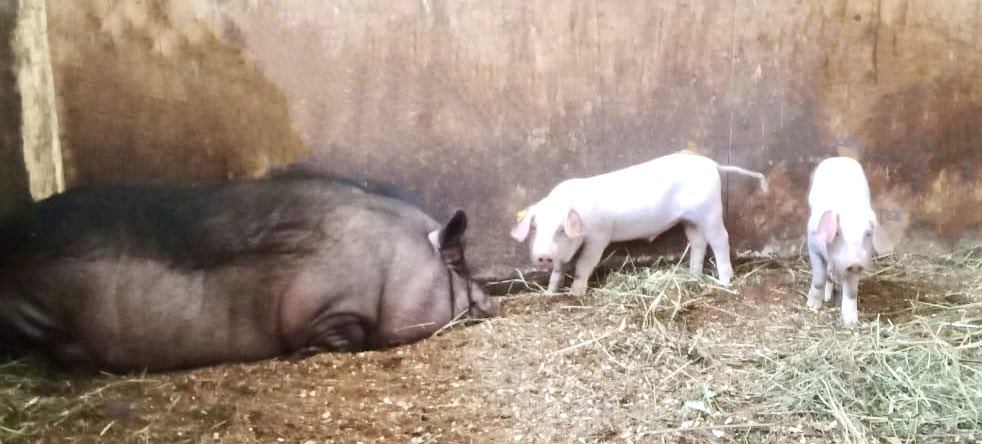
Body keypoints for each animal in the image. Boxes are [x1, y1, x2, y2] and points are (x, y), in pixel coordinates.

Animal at [0, 172, 498, 372]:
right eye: (458, 262)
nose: (491, 301)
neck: (393, 263)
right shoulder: (331, 307)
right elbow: (345, 338)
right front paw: (302, 354)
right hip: (30, 307)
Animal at [511, 152, 768, 296]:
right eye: (535, 227)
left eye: (561, 229)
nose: (543, 255)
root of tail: (712, 164)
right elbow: (558, 269)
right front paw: (549, 293)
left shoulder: (599, 237)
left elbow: (584, 264)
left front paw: (575, 294)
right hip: (690, 219)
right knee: (698, 242)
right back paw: (692, 276)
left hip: (711, 211)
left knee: (720, 239)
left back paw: (723, 282)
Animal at [805, 156, 892, 327]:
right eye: (838, 233)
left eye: (868, 234)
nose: (855, 262)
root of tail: (838, 158)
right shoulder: (812, 246)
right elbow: (818, 278)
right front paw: (812, 306)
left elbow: (851, 292)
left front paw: (851, 323)